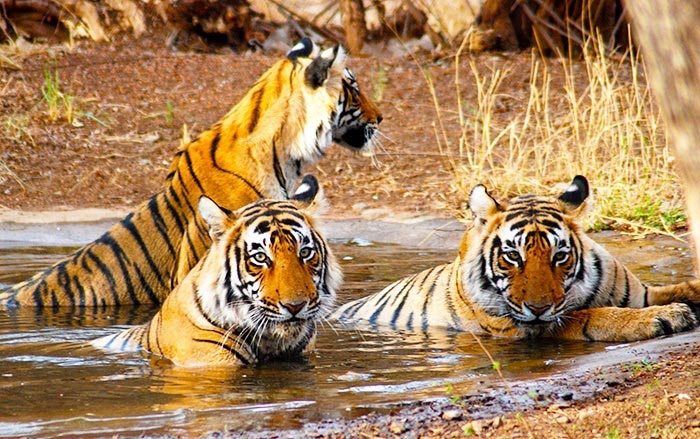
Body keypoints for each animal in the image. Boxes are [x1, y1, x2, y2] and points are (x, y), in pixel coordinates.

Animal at [333, 176, 700, 342]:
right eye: (512, 256)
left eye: (560, 256)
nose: (538, 308)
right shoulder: (530, 327)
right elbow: (593, 315)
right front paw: (665, 317)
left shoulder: (643, 293)